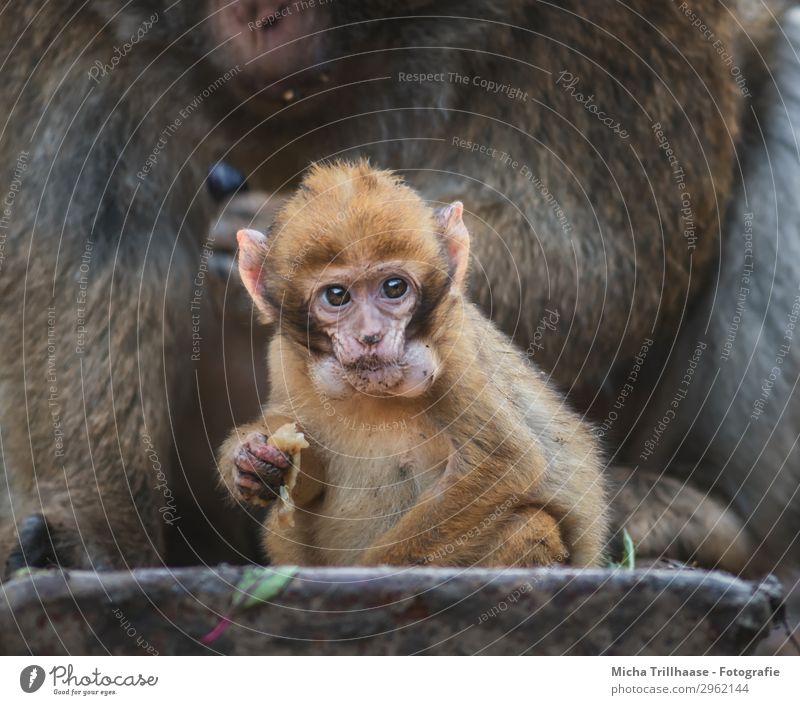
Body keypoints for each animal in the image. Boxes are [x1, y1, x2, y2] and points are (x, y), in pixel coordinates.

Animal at [219, 161, 608, 568]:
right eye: (337, 295)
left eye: (394, 288)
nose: (370, 335)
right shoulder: (284, 359)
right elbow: (307, 468)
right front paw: (254, 459)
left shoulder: (454, 351)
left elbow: (503, 465)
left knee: (529, 525)